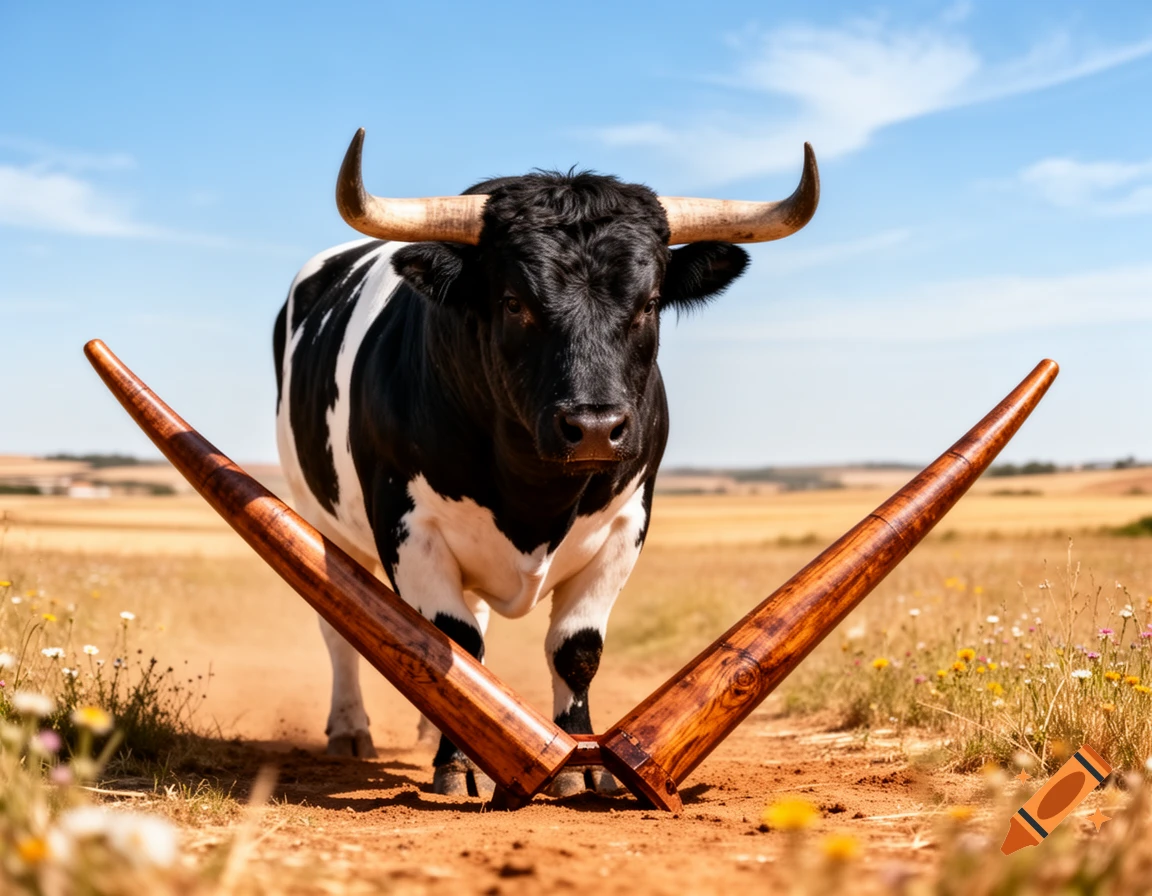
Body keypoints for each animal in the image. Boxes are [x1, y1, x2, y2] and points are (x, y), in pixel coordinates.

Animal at [274, 129, 818, 797]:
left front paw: (579, 764)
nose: (595, 428)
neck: (532, 495)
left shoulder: (625, 524)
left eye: (650, 303)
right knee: (340, 626)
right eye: (513, 302)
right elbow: (450, 644)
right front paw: (458, 765)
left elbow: (574, 650)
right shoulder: (407, 524)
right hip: (319, 515)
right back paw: (352, 729)